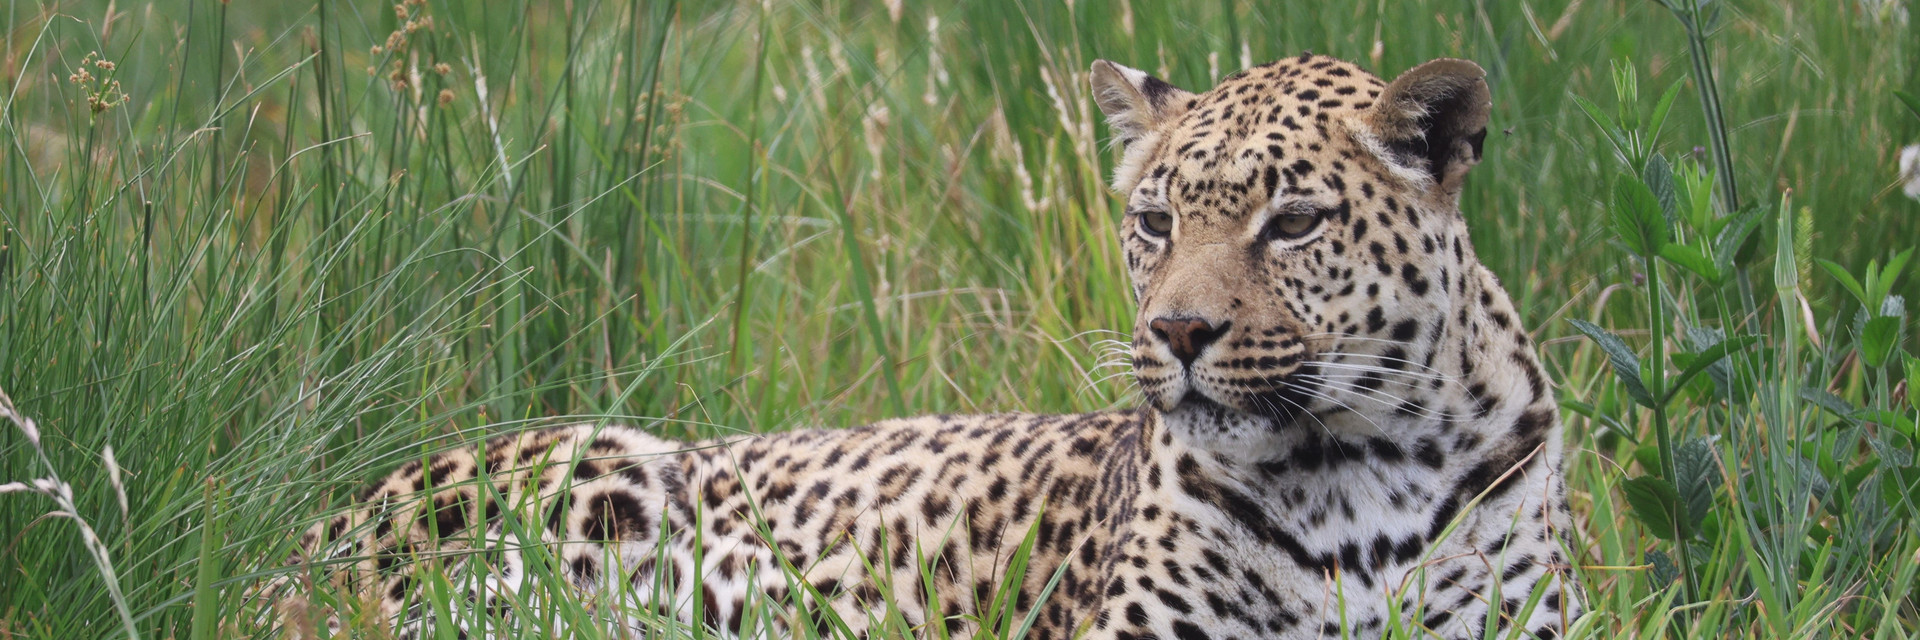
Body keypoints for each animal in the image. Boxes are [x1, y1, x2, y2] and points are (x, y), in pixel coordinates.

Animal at [278, 53, 1582, 640]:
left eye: (1296, 222)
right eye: (1155, 220)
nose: (1178, 330)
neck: (1350, 470)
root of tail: (304, 539)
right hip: (598, 473)